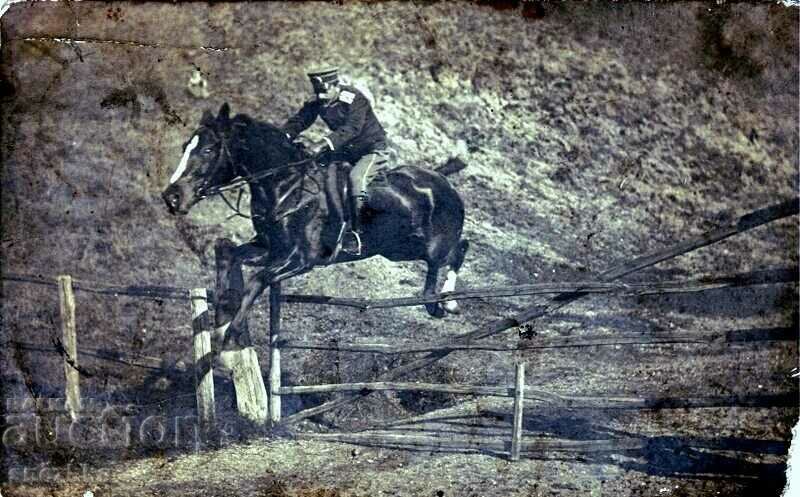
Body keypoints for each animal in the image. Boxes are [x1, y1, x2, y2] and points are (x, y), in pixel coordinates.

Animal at [161, 104, 468, 342]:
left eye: (209, 150)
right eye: (185, 147)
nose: (171, 197)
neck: (284, 185)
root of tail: (442, 180)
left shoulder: (301, 260)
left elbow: (258, 279)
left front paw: (230, 332)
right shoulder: (270, 248)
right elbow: (229, 255)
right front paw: (221, 319)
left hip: (432, 245)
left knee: (451, 254)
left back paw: (445, 303)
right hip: (397, 249)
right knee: (455, 250)